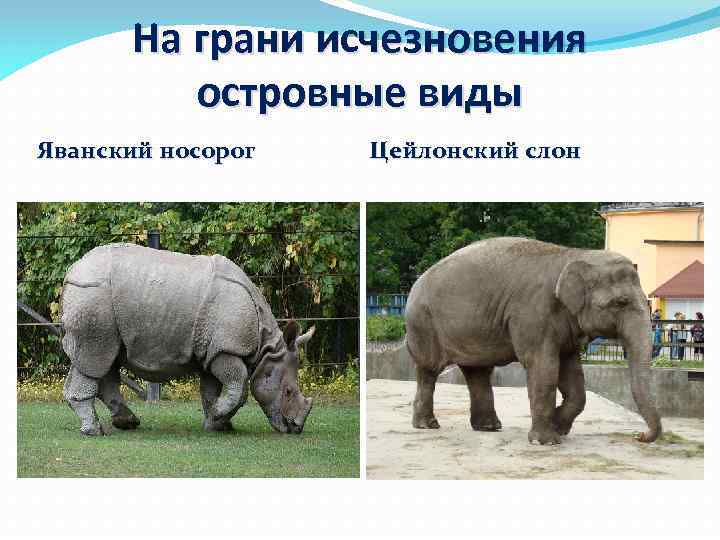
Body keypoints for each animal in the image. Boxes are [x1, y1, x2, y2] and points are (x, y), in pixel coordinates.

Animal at [60, 243, 314, 436]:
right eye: (288, 391)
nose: (296, 428)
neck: (265, 346)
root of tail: (72, 271)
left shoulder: (212, 352)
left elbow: (211, 391)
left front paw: (217, 423)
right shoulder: (225, 349)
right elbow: (239, 386)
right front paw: (218, 416)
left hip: (97, 301)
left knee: (106, 361)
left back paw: (127, 423)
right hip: (93, 296)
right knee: (95, 357)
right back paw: (95, 431)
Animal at [405, 237, 661, 445]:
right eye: (621, 302)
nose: (639, 436)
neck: (574, 255)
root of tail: (415, 283)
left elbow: (573, 376)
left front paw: (558, 426)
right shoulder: (533, 313)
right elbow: (543, 367)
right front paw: (547, 441)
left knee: (478, 372)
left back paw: (488, 427)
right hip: (423, 324)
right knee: (429, 369)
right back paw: (428, 425)